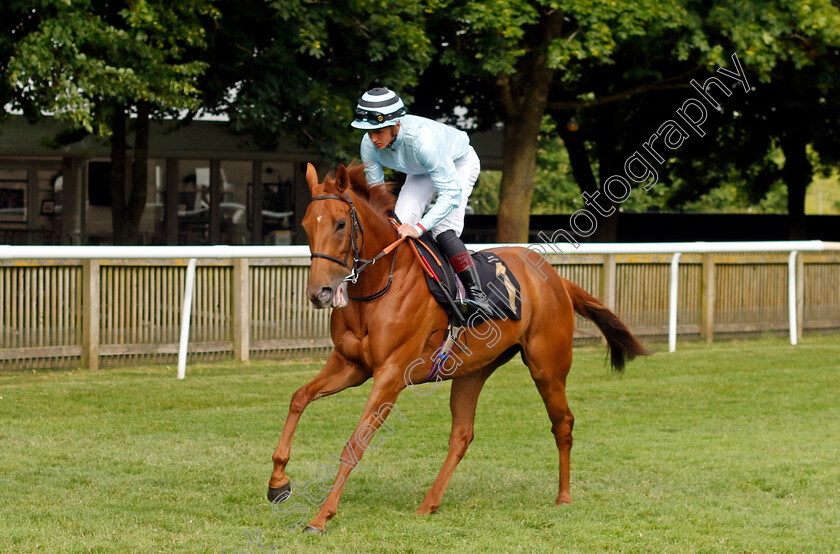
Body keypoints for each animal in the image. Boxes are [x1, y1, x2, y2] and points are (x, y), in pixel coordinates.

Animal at [266, 163, 648, 532]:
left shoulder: (390, 375)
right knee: (462, 435)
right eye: (306, 225)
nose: (320, 293)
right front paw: (278, 483)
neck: (379, 286)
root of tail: (556, 278)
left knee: (563, 424)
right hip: (472, 371)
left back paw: (563, 496)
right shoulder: (350, 365)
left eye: (341, 223)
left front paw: (320, 518)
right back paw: (428, 504)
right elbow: (299, 397)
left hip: (547, 368)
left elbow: (355, 442)